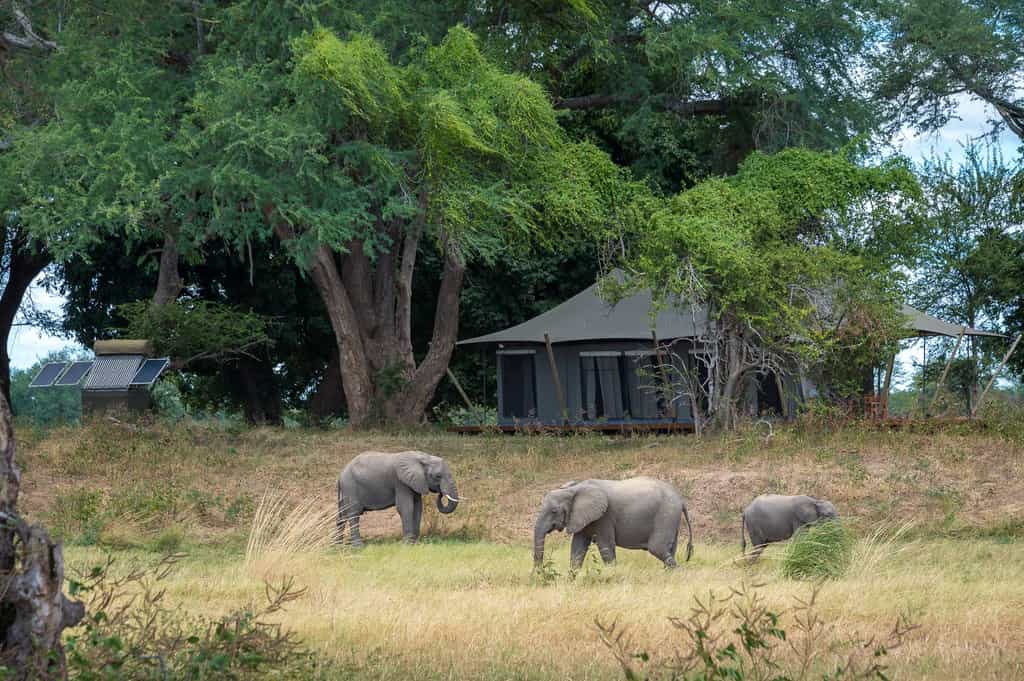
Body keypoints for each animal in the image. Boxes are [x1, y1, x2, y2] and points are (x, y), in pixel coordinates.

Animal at [532, 477, 694, 570]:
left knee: (657, 547)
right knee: (669, 549)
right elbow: (577, 548)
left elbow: (605, 546)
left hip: (666, 515)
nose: (539, 573)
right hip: (671, 517)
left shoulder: (604, 516)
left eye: (554, 511)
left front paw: (613, 577)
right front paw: (571, 582)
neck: (574, 489)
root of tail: (681, 499)